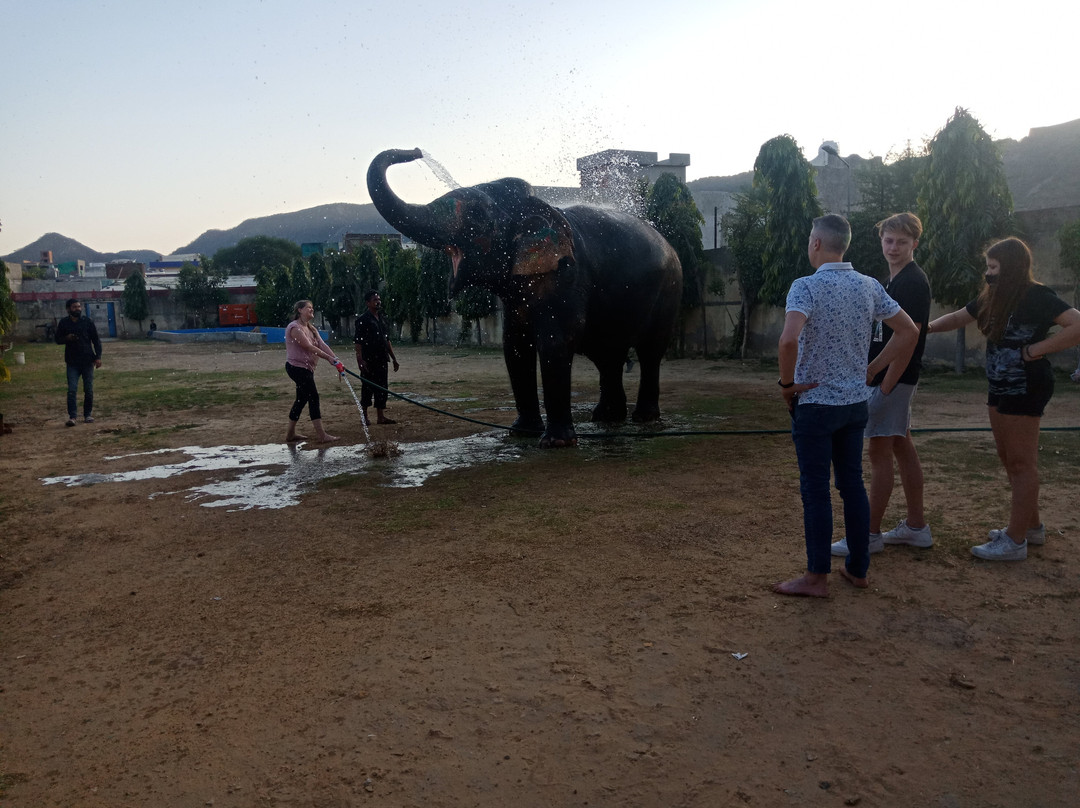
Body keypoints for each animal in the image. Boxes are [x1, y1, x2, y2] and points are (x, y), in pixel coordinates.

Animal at [367, 147, 678, 445]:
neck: (541, 208)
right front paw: (521, 432)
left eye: (477, 216)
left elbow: (555, 341)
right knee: (608, 353)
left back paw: (643, 419)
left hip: (669, 289)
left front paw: (555, 443)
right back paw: (606, 417)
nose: (416, 151)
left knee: (649, 351)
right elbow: (514, 346)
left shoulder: (568, 277)